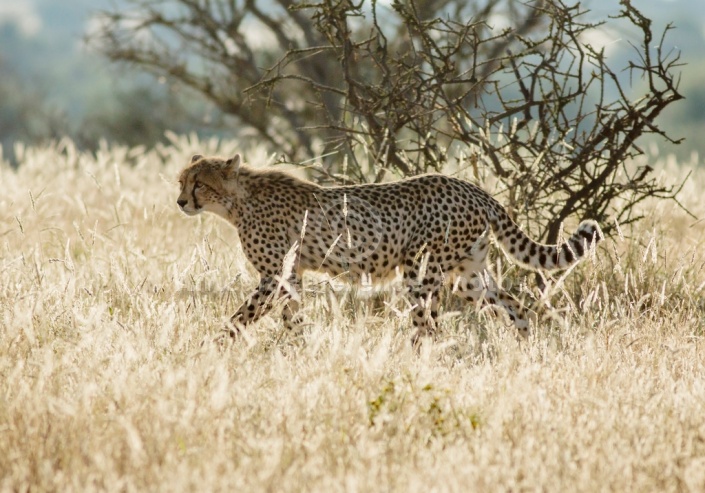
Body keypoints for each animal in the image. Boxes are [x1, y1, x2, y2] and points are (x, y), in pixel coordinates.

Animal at [176, 153, 600, 342]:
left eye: (199, 183)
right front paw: (297, 350)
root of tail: (472, 188)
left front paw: (214, 346)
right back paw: (526, 348)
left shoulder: (274, 277)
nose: (180, 202)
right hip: (468, 275)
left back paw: (414, 360)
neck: (238, 201)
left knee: (428, 325)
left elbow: (239, 318)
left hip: (422, 271)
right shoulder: (290, 276)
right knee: (515, 305)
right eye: (182, 180)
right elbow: (292, 318)